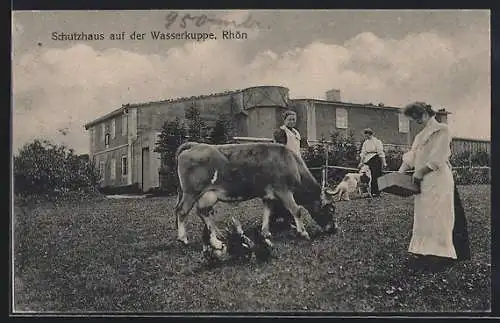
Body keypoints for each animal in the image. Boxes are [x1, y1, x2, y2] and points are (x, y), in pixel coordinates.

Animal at [173, 142, 336, 258]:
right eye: (331, 208)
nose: (334, 229)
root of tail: (195, 145)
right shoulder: (283, 190)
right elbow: (296, 210)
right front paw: (303, 233)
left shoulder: (268, 195)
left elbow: (267, 213)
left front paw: (265, 232)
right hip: (191, 192)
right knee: (181, 211)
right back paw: (183, 238)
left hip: (208, 195)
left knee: (203, 213)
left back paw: (217, 238)